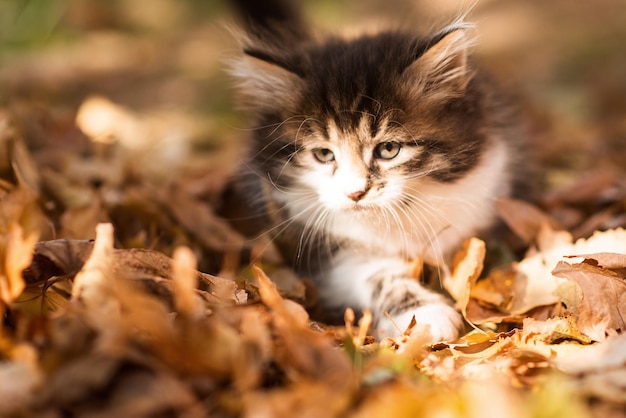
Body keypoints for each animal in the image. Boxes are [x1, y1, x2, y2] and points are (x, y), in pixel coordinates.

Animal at [227, 0, 524, 342]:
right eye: (323, 154)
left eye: (388, 149)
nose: (355, 192)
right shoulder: (316, 244)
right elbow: (377, 274)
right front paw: (423, 313)